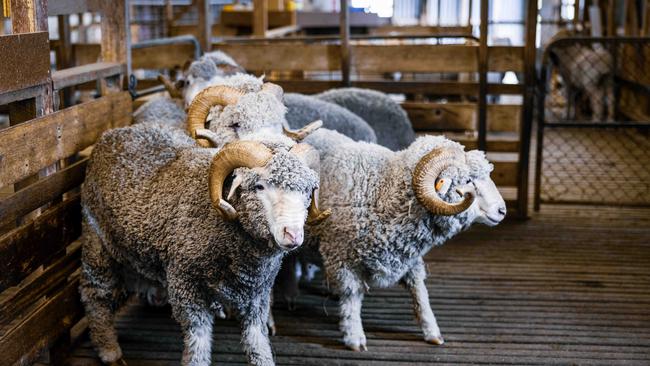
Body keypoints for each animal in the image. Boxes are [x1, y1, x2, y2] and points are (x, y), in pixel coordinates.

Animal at [79, 123, 330, 366]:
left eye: (308, 189)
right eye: (259, 186)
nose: (293, 235)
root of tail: (114, 132)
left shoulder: (257, 294)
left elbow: (257, 341)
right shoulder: (186, 285)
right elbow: (197, 341)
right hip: (95, 236)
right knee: (95, 294)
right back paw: (109, 350)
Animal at [292, 129, 504, 352]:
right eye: (468, 180)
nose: (502, 211)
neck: (383, 191)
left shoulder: (408, 258)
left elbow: (420, 292)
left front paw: (432, 332)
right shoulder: (342, 257)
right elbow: (352, 297)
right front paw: (354, 337)